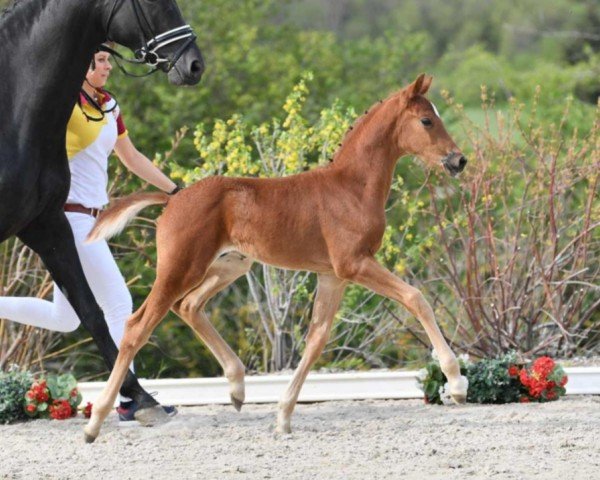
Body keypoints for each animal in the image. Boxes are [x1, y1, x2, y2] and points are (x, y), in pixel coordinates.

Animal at [0, 0, 204, 420]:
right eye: (153, 2)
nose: (194, 64)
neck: (11, 106)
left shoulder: (47, 223)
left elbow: (91, 310)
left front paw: (140, 397)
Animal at [83, 73, 468, 440]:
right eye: (426, 120)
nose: (459, 160)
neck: (351, 188)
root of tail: (173, 199)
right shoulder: (354, 264)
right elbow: (416, 298)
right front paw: (456, 382)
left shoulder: (332, 275)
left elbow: (316, 338)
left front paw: (283, 417)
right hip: (180, 268)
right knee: (138, 326)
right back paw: (95, 422)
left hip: (232, 265)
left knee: (189, 306)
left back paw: (237, 388)